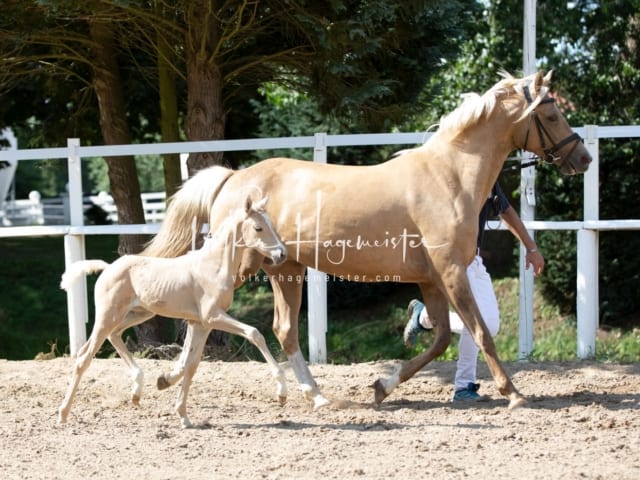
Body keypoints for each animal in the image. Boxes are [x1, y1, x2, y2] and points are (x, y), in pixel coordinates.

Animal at [57, 195, 288, 428]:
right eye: (258, 227)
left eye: (271, 224)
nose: (281, 254)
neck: (213, 266)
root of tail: (107, 268)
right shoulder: (212, 316)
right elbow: (254, 334)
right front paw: (282, 393)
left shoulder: (201, 324)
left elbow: (191, 365)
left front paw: (183, 415)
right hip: (108, 316)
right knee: (84, 357)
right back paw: (63, 414)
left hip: (137, 314)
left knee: (113, 336)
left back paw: (136, 392)